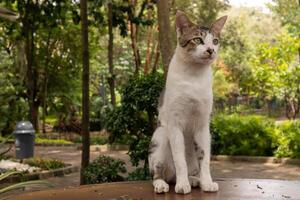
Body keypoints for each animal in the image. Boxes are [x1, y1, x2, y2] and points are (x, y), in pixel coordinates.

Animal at [148, 10, 227, 194]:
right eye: (197, 39)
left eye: (215, 41)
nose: (211, 50)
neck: (194, 76)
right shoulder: (175, 123)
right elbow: (179, 159)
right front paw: (182, 185)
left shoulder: (203, 125)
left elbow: (204, 157)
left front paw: (207, 182)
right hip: (160, 136)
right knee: (158, 173)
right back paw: (163, 184)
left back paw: (194, 180)